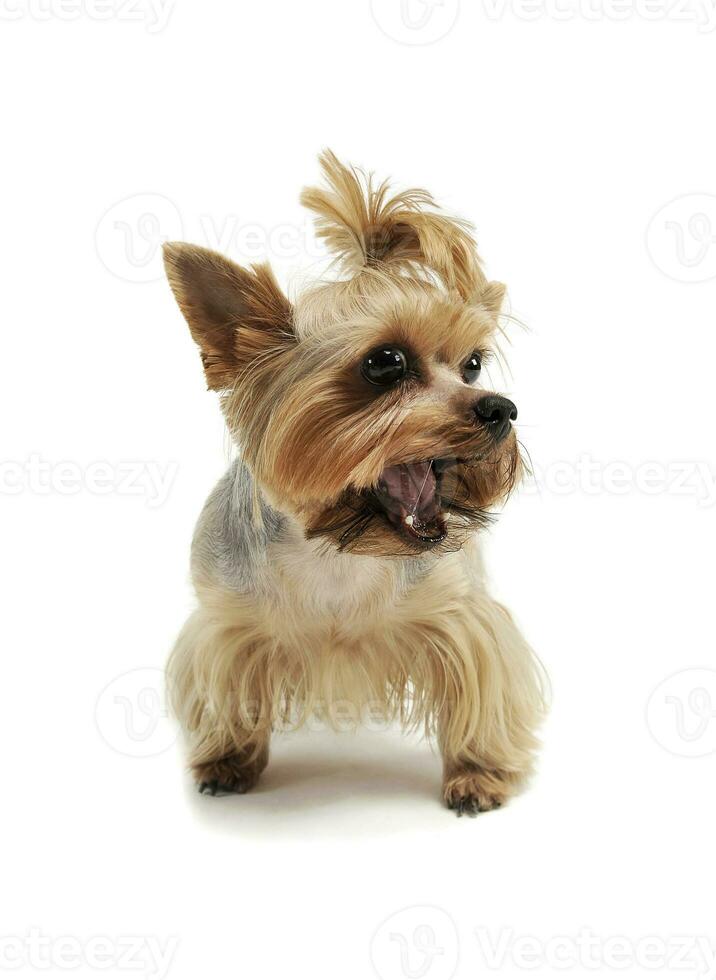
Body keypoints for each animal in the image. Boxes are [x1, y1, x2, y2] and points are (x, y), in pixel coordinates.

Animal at [162, 151, 544, 812]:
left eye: (472, 364)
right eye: (385, 363)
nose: (502, 409)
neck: (341, 548)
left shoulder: (461, 615)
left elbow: (483, 690)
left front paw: (479, 774)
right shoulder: (227, 623)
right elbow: (225, 691)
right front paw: (227, 760)